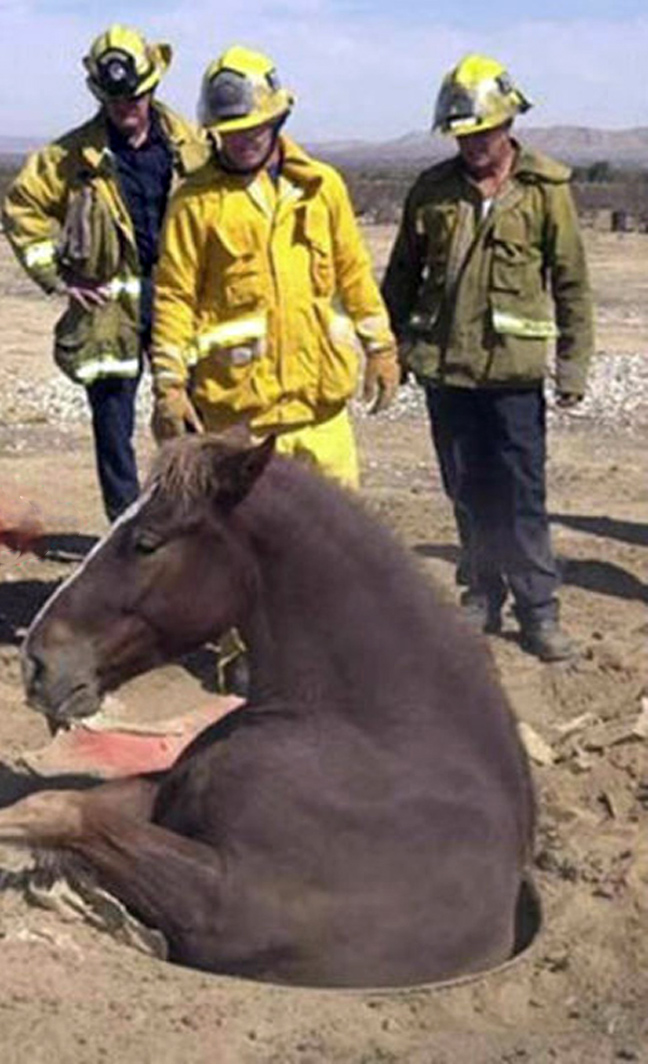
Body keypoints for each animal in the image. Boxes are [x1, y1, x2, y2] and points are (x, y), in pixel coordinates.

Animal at [0, 435, 536, 988]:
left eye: (146, 542)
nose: (35, 663)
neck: (379, 731)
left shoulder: (223, 902)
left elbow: (61, 810)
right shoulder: (162, 794)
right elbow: (65, 802)